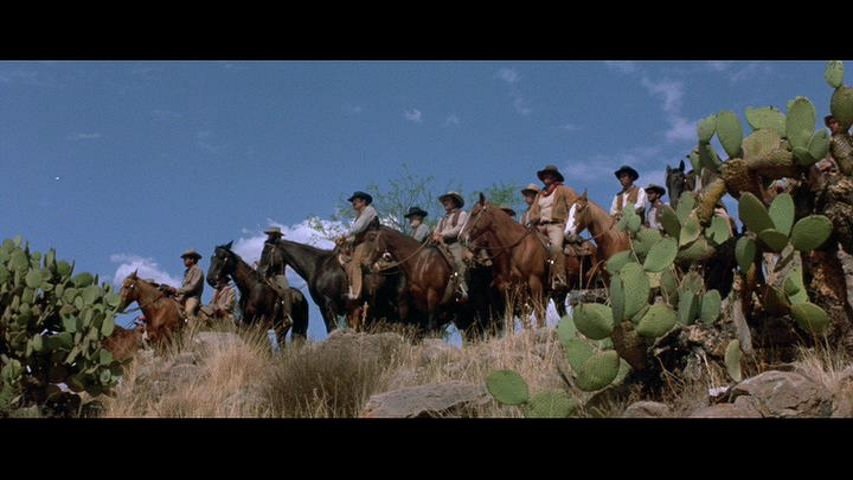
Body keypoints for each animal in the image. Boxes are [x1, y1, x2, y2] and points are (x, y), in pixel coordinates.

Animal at [460, 194, 549, 328]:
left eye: (474, 213)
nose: (460, 236)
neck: (515, 250)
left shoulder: (534, 282)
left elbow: (538, 314)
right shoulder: (508, 290)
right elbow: (510, 316)